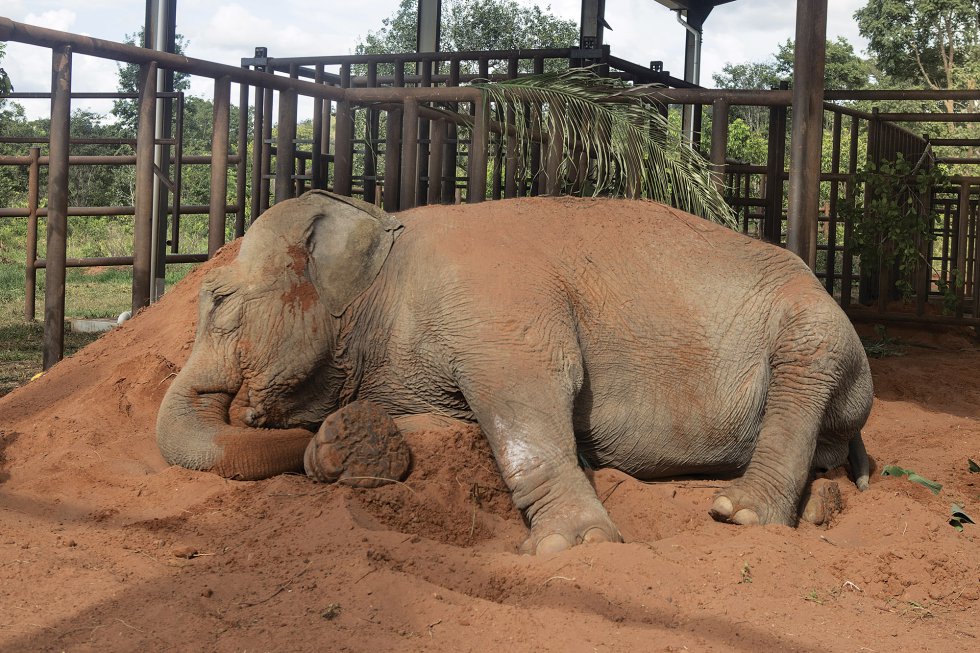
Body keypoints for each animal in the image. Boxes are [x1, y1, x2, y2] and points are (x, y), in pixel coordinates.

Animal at [159, 191, 872, 552]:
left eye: (217, 302)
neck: (385, 237)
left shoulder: (494, 305)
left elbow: (531, 390)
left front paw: (572, 546)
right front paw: (344, 449)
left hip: (821, 334)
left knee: (805, 371)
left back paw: (739, 513)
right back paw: (816, 507)